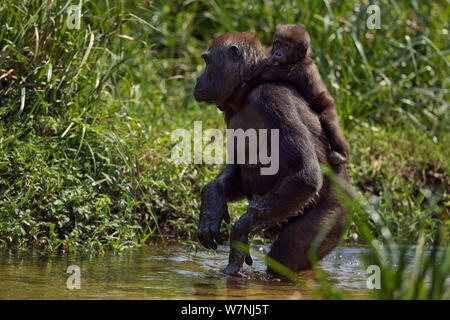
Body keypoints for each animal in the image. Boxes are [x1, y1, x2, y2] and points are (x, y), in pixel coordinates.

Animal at [232, 25, 348, 165]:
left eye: (286, 47)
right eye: (278, 43)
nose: (278, 53)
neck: (299, 58)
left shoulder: (298, 69)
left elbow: (262, 75)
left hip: (329, 105)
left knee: (329, 121)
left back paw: (342, 155)